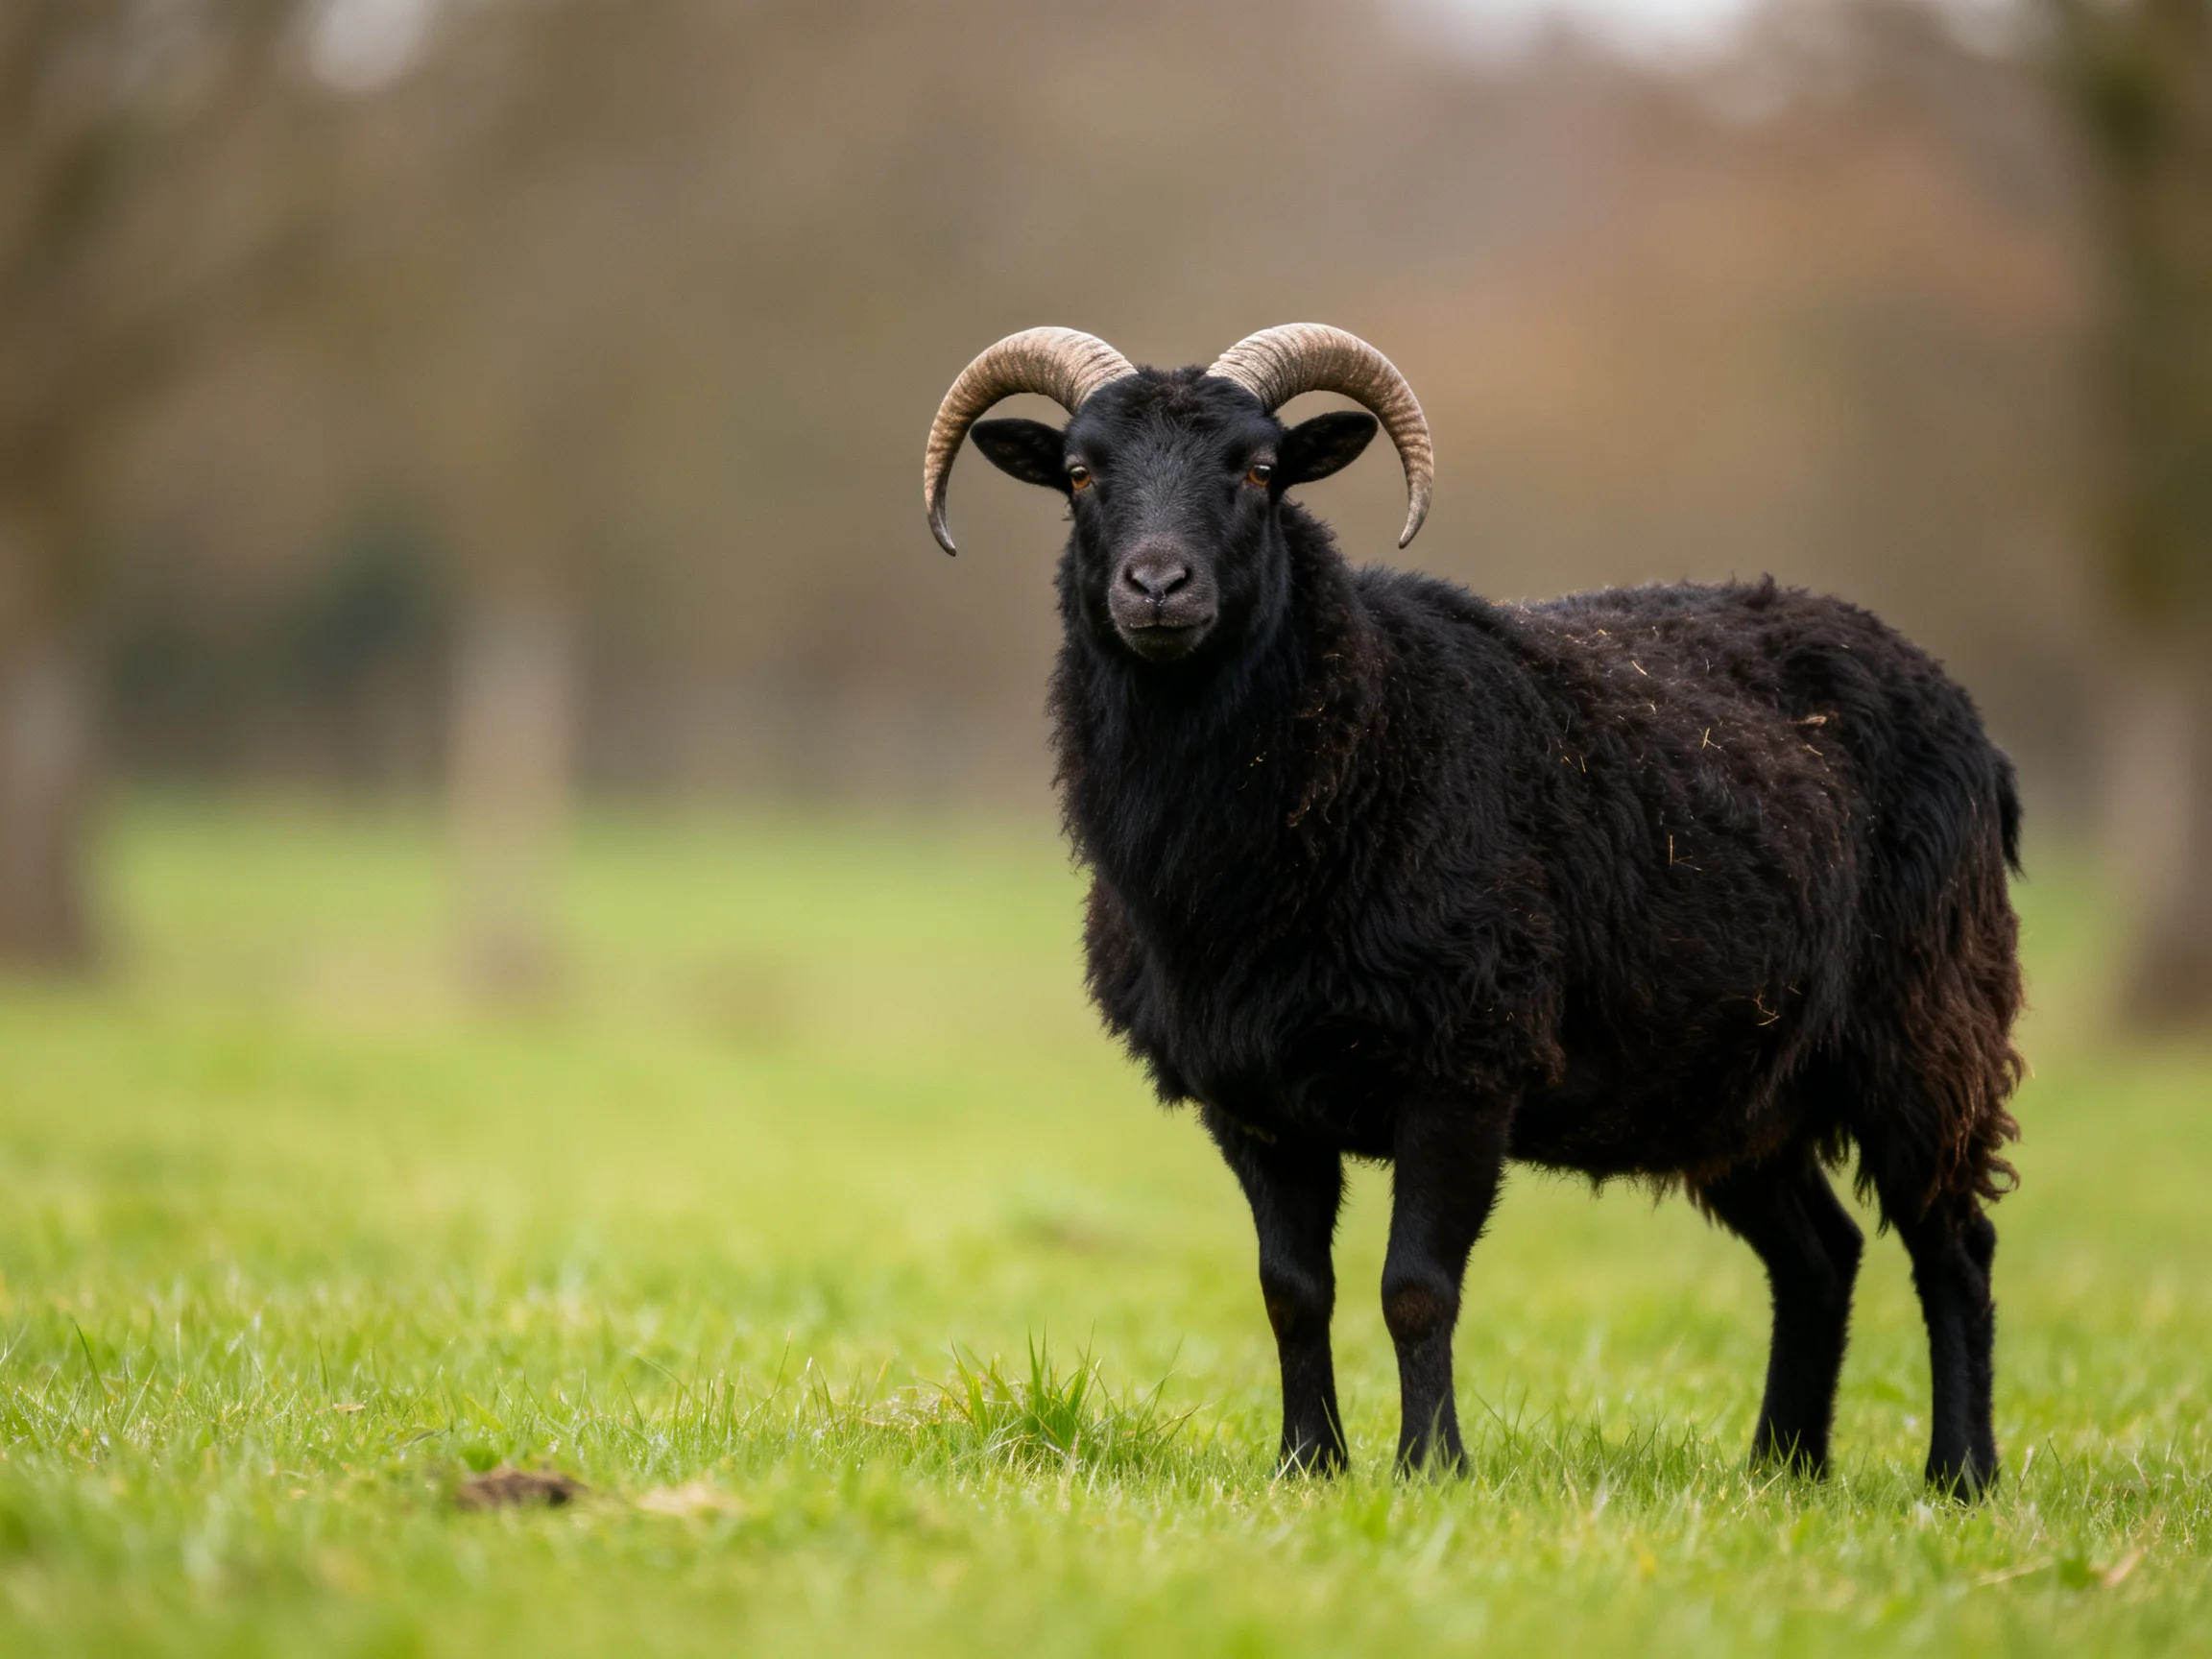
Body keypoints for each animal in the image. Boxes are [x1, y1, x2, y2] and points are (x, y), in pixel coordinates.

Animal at [921, 324, 2025, 1493]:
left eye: (1259, 471)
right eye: (1080, 474)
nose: (1159, 585)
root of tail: (1959, 710)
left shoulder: (1464, 1065)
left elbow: (1415, 1288)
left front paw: (1430, 1467)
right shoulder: (1252, 1098)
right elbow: (1291, 1291)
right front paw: (1308, 1465)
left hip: (1928, 1026)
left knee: (1953, 1246)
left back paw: (1960, 1475)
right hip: (1735, 1082)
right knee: (1821, 1253)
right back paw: (1782, 1469)